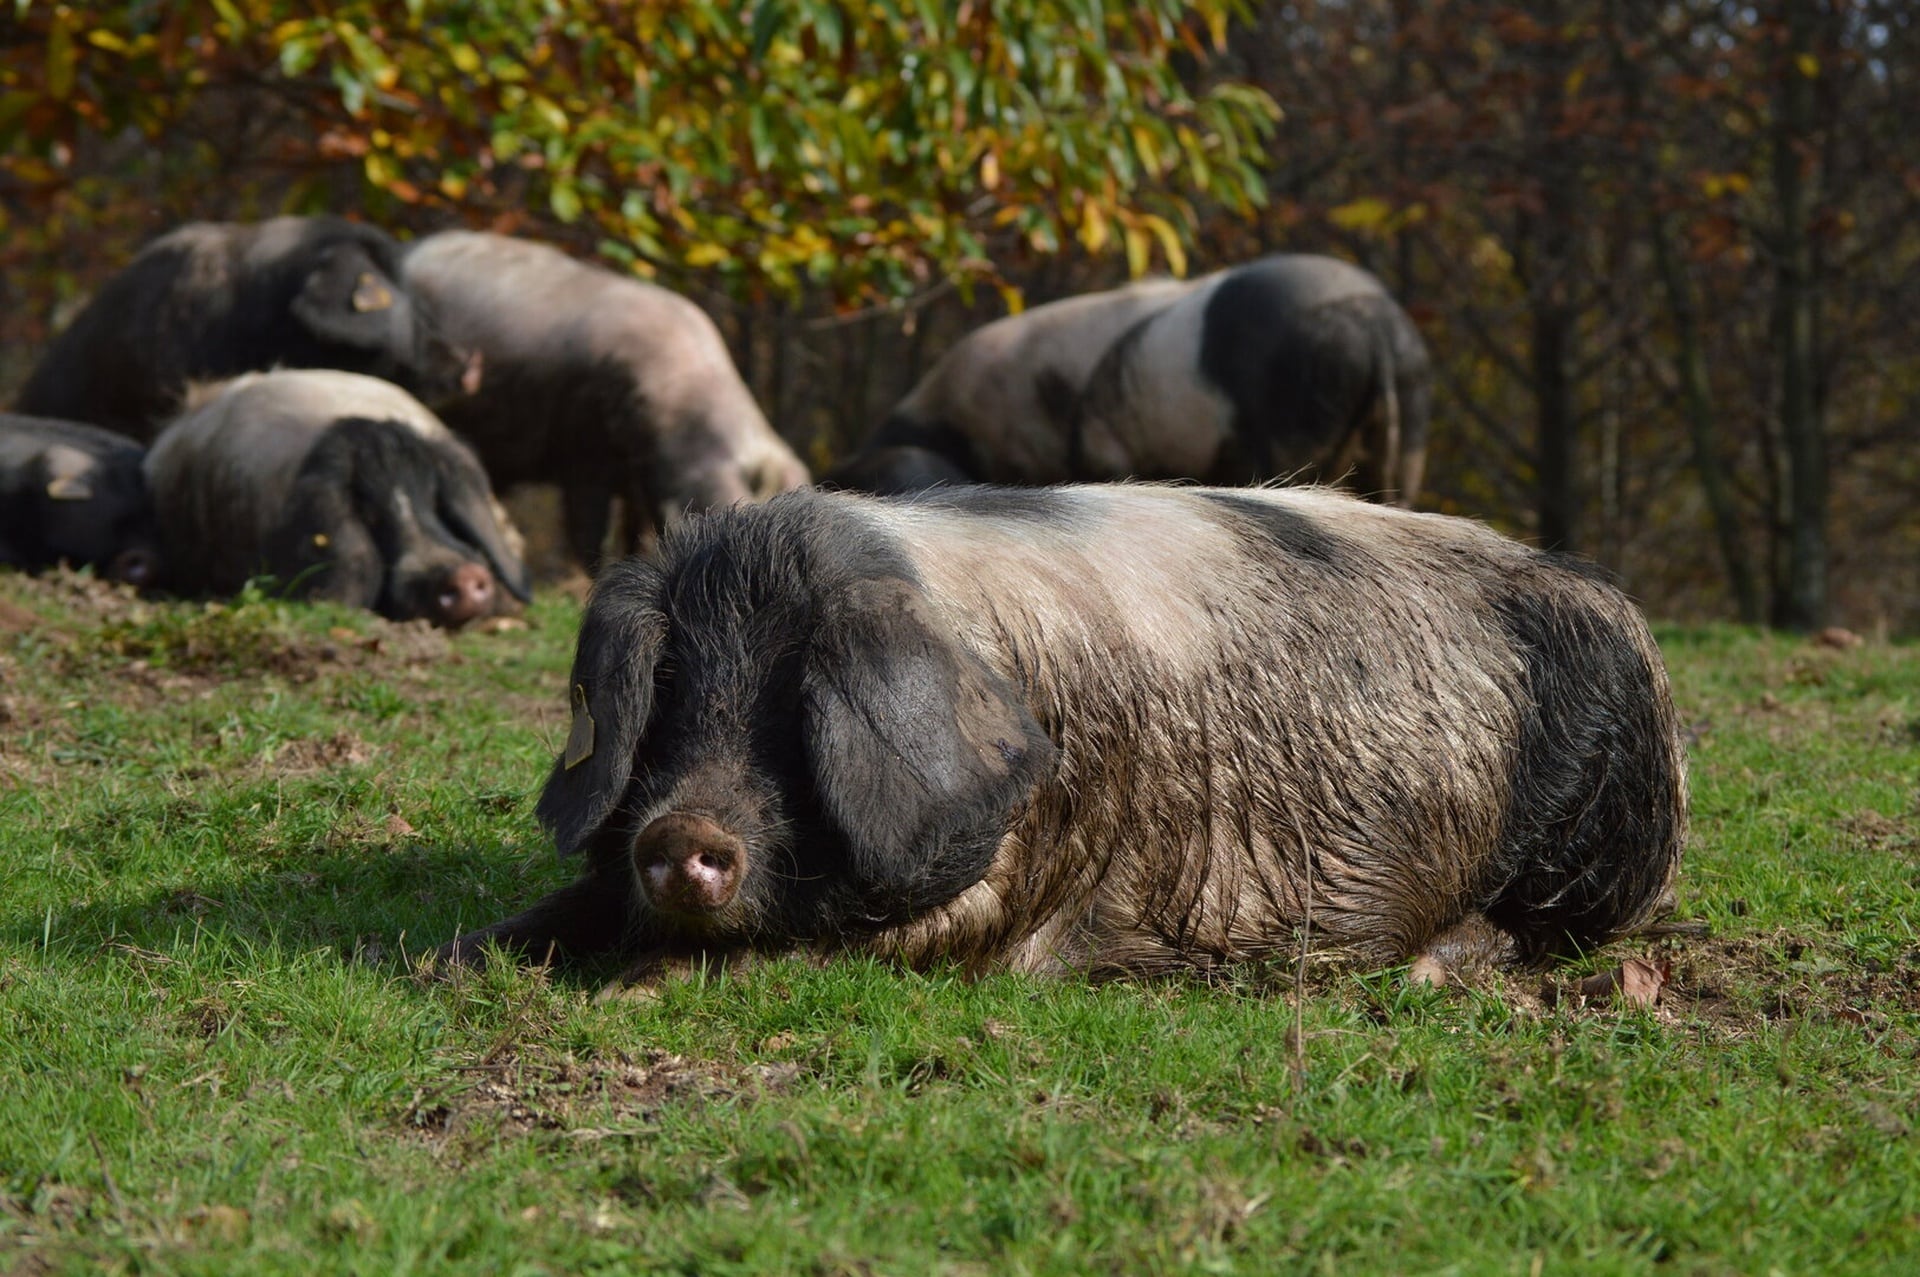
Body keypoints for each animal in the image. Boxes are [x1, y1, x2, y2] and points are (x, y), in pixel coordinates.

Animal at [439, 480, 1697, 983]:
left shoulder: (1019, 883)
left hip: (1604, 839)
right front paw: (452, 957)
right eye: (670, 702)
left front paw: (639, 983)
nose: (683, 833)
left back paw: (1439, 965)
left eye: (795, 713)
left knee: (1548, 932)